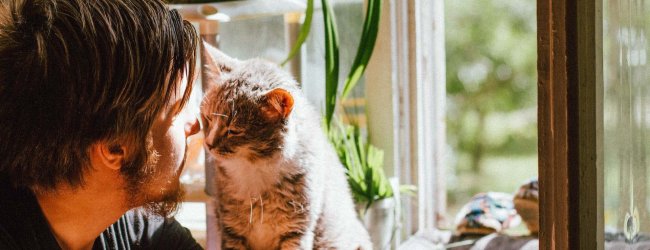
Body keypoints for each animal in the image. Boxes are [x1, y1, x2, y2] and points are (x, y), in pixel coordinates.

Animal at [197, 41, 370, 250]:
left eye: (234, 130)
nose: (208, 144)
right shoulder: (231, 229)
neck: (254, 169)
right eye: (207, 118)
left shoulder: (297, 231)